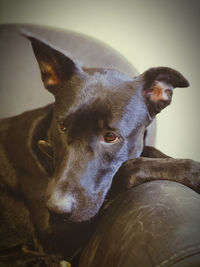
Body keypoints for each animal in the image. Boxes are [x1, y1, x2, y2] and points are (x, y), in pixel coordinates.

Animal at [0, 35, 200, 266]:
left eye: (110, 137)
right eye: (62, 127)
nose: (57, 208)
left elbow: (146, 153)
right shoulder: (57, 234)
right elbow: (130, 167)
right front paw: (194, 171)